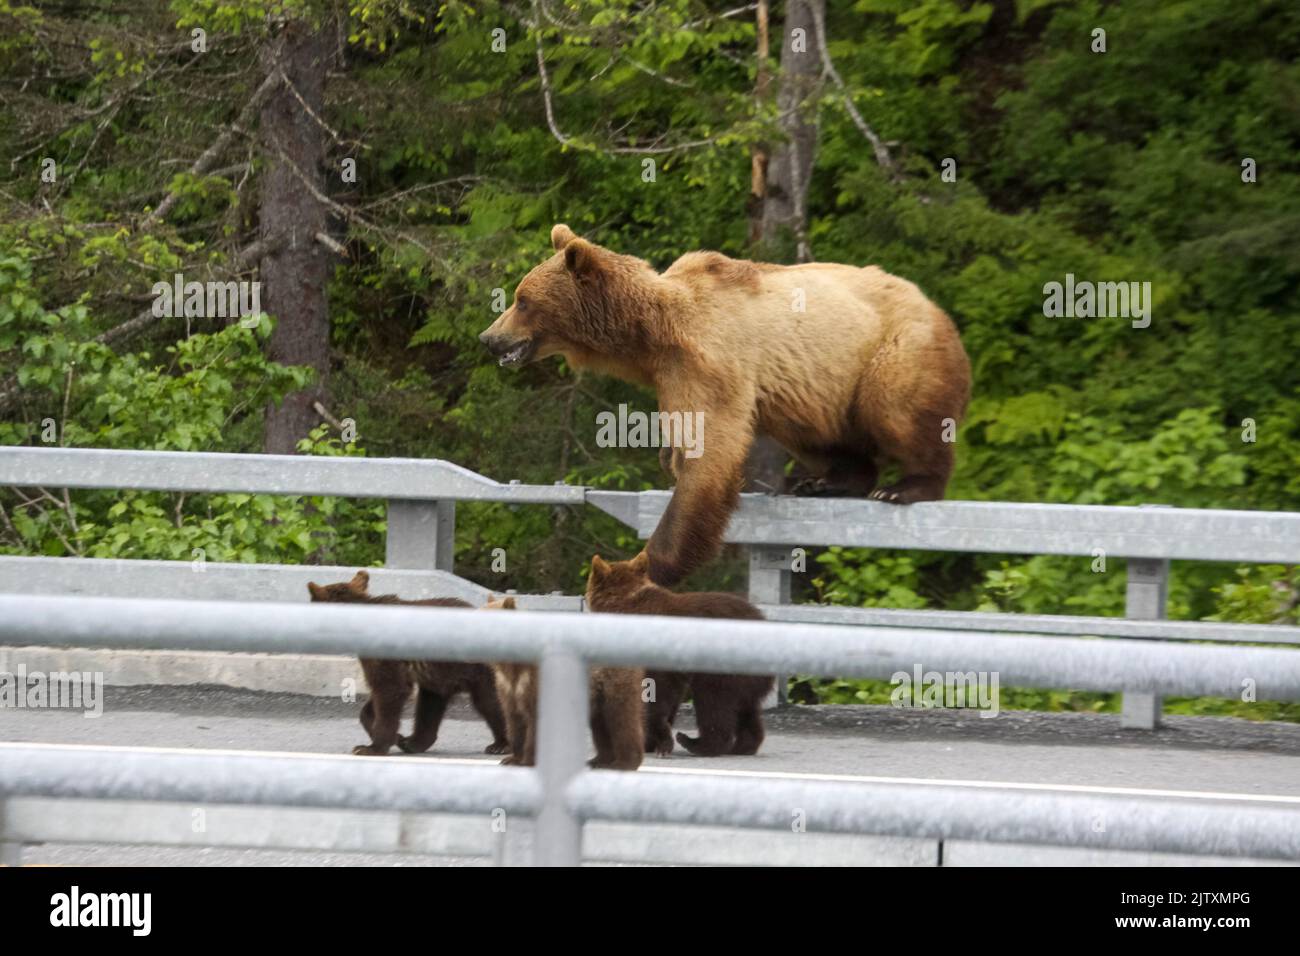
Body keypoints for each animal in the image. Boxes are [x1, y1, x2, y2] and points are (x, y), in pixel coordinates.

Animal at [478, 226, 967, 582]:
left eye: (522, 301)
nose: (489, 338)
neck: (648, 336)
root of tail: (936, 307)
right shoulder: (672, 372)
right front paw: (667, 460)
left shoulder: (708, 360)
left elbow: (710, 455)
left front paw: (645, 565)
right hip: (815, 390)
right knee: (808, 430)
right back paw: (826, 480)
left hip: (894, 350)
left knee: (897, 411)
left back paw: (905, 486)